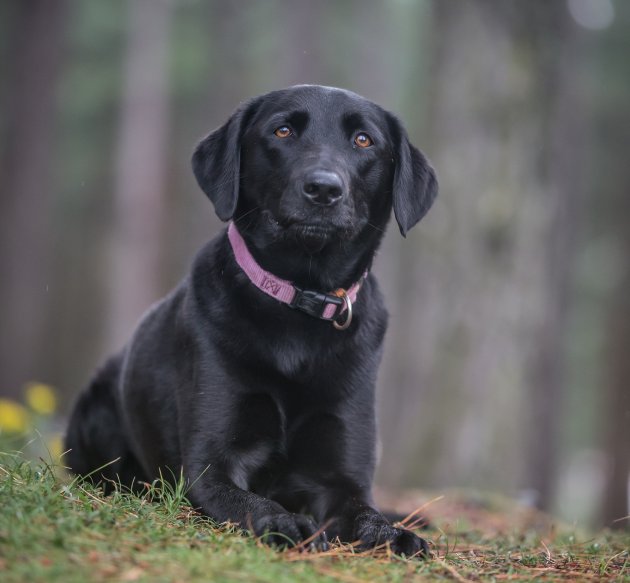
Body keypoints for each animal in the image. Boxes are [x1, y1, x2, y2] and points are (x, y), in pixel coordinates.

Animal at [65, 85, 438, 556]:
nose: (323, 188)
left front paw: (392, 534)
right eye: (282, 131)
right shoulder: (211, 465)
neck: (299, 302)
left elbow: (364, 511)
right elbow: (251, 501)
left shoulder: (342, 479)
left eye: (363, 140)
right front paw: (285, 521)